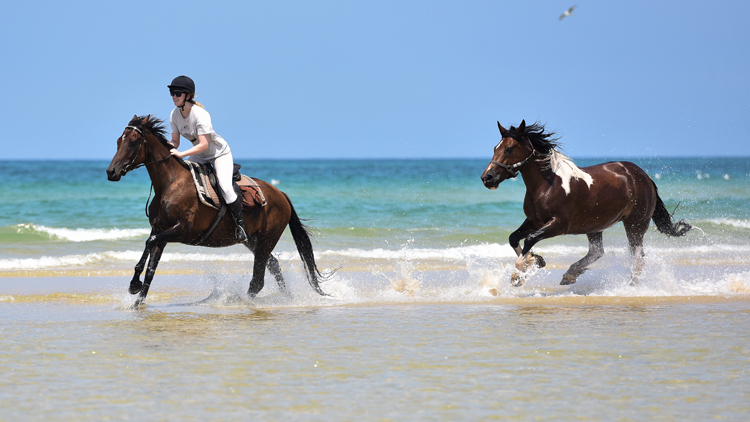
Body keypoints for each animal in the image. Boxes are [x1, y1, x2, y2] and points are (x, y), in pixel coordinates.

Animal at [107, 115, 330, 304]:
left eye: (132, 142)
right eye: (118, 141)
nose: (111, 172)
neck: (170, 184)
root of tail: (281, 194)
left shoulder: (182, 230)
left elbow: (149, 244)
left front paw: (134, 286)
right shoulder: (160, 230)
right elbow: (150, 266)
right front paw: (136, 297)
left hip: (267, 239)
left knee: (258, 279)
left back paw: (243, 301)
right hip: (253, 240)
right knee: (273, 265)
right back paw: (287, 297)